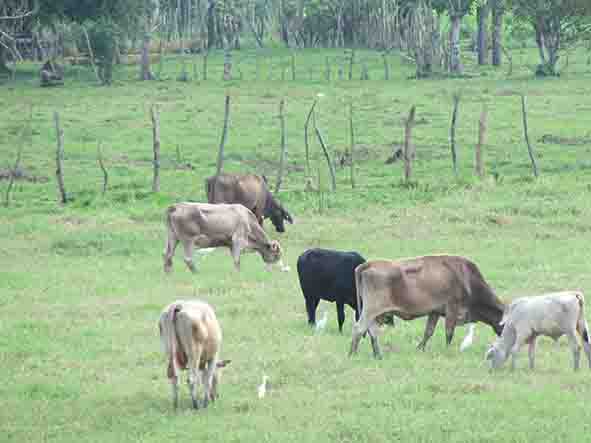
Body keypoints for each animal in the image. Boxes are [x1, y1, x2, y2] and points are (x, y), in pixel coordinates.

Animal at [350, 255, 506, 360]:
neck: (467, 280)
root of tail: (369, 264)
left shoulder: (434, 312)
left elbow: (428, 332)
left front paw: (420, 348)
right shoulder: (452, 308)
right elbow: (449, 332)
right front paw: (447, 351)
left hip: (375, 313)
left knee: (372, 331)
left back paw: (378, 355)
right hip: (371, 309)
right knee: (359, 328)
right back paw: (352, 354)